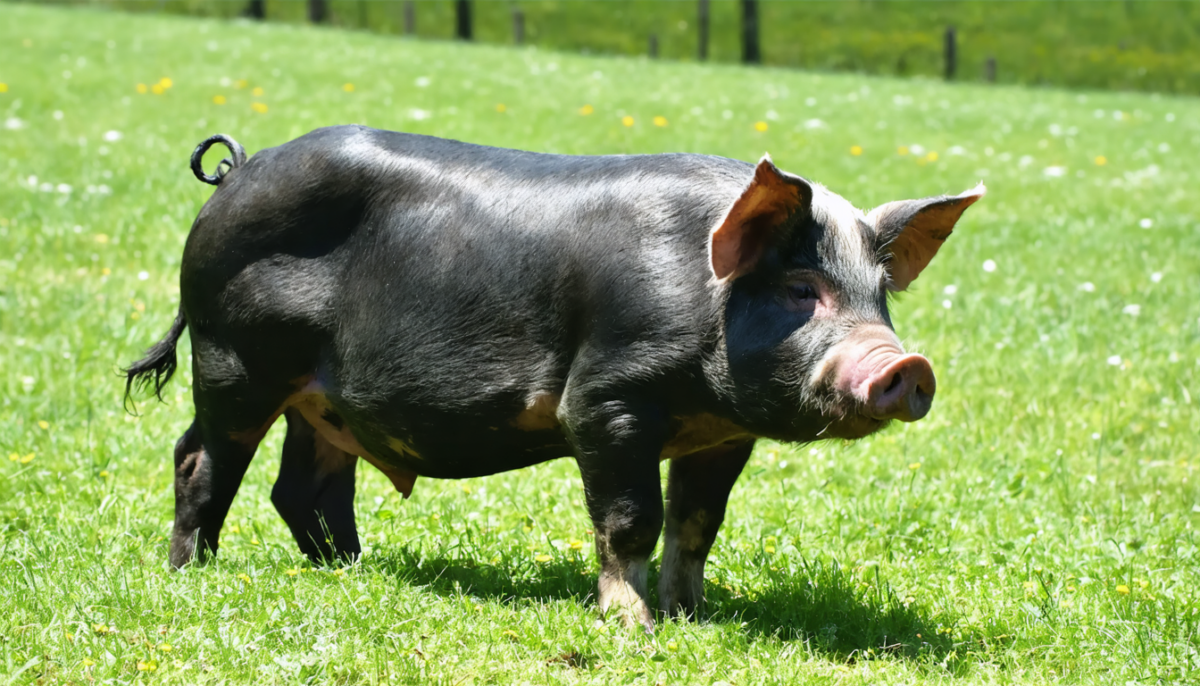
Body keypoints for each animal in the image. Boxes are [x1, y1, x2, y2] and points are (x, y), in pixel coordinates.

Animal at [125, 126, 983, 631]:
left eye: (881, 296)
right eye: (803, 289)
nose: (904, 363)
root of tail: (234, 175)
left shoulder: (722, 434)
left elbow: (697, 526)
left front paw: (693, 616)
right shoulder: (605, 401)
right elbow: (632, 519)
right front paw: (633, 630)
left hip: (319, 398)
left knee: (303, 486)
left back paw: (351, 571)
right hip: (233, 359)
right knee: (199, 459)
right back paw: (192, 572)